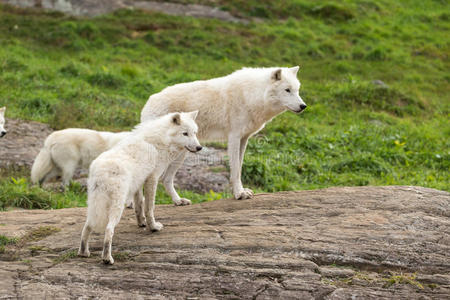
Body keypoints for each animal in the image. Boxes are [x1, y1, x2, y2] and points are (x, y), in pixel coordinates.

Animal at [78, 111, 201, 264]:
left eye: (194, 133)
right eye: (185, 134)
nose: (199, 147)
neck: (161, 141)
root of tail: (102, 170)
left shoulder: (139, 182)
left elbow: (139, 206)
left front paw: (141, 223)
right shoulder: (152, 179)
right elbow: (149, 208)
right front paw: (153, 227)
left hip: (95, 205)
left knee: (87, 227)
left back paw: (83, 253)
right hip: (116, 207)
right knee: (108, 230)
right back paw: (107, 258)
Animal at [142, 65, 308, 202]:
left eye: (297, 90)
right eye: (287, 90)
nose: (303, 106)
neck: (252, 95)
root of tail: (149, 101)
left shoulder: (244, 139)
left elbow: (239, 168)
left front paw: (241, 191)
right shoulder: (234, 137)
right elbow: (235, 169)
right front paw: (239, 194)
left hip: (183, 152)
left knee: (165, 179)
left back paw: (178, 201)